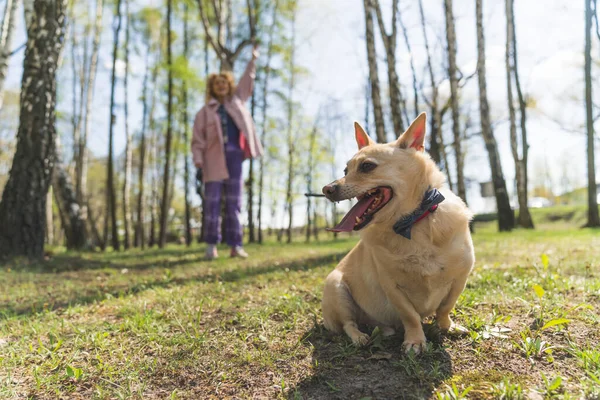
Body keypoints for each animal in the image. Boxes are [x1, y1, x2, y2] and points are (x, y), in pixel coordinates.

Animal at [322, 111, 476, 354]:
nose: (327, 189)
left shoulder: (460, 278)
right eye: (346, 171)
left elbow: (445, 307)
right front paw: (415, 341)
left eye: (366, 166)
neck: (411, 222)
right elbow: (410, 315)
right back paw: (360, 336)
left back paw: (385, 330)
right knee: (349, 323)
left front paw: (446, 327)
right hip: (336, 287)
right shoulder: (392, 286)